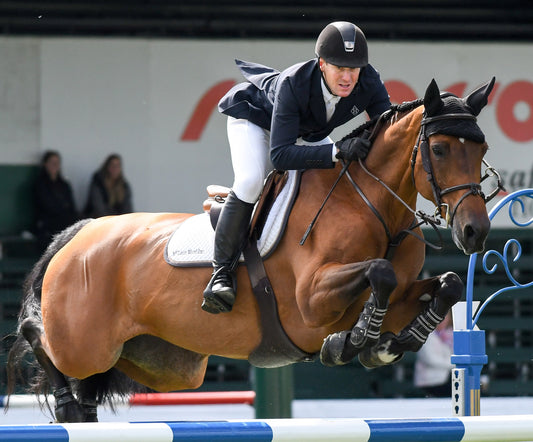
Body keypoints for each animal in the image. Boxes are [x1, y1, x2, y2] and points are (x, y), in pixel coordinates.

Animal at [7, 77, 494, 424]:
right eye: (438, 149)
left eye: (482, 147)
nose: (474, 232)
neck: (373, 207)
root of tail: (81, 232)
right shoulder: (310, 301)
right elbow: (379, 272)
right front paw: (352, 342)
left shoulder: (397, 294)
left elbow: (447, 284)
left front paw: (391, 343)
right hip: (86, 342)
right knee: (40, 337)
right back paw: (64, 398)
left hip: (160, 362)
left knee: (88, 385)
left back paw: (76, 411)